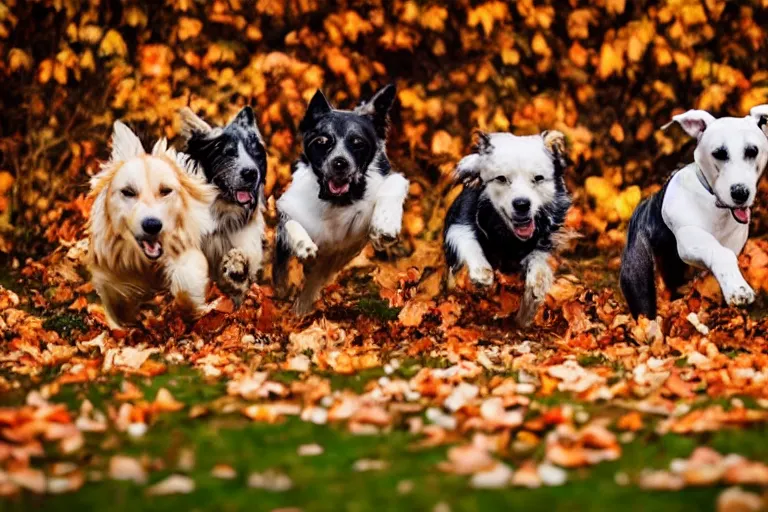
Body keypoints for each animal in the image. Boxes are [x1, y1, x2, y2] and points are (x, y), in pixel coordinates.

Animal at [88, 121, 218, 326]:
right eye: (128, 192)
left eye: (166, 191)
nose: (152, 225)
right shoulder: (108, 272)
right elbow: (114, 299)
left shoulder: (186, 252)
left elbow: (186, 285)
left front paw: (190, 310)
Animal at [274, 85, 412, 312]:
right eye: (322, 141)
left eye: (358, 143)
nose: (340, 163)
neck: (334, 200)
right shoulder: (286, 209)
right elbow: (290, 226)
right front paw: (304, 245)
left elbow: (395, 183)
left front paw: (385, 224)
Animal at [444, 130, 568, 326]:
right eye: (501, 178)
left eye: (538, 178)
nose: (522, 204)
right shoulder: (460, 222)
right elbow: (469, 244)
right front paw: (481, 272)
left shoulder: (544, 241)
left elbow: (538, 264)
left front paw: (537, 283)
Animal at [616, 106, 768, 318]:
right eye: (719, 153)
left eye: (752, 151)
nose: (740, 192)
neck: (715, 207)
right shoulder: (688, 240)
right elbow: (720, 253)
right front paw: (738, 289)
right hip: (638, 275)